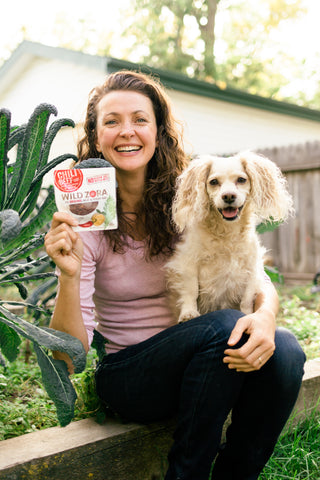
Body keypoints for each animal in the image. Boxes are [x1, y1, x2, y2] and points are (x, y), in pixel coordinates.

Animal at [166, 151, 294, 322]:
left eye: (241, 180)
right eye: (213, 182)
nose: (228, 196)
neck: (227, 232)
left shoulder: (252, 270)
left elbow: (246, 299)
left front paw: (247, 315)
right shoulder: (188, 262)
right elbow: (190, 289)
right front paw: (189, 313)